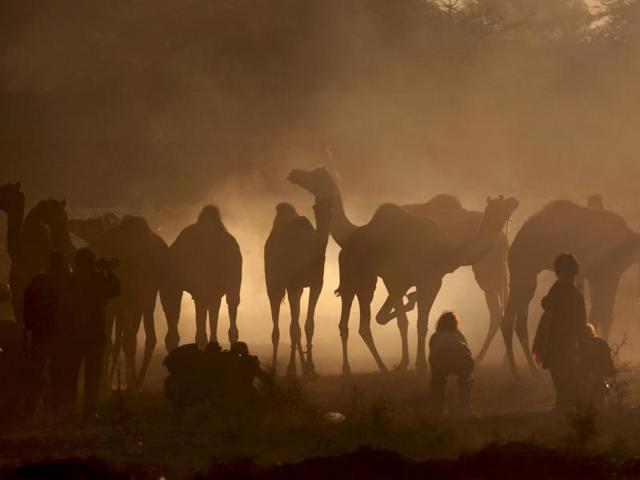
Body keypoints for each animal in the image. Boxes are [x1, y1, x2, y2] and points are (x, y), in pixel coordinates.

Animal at [69, 215, 168, 389]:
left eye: (89, 223)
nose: (71, 222)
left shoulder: (112, 305)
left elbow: (109, 340)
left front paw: (104, 383)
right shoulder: (131, 304)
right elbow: (122, 339)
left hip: (128, 300)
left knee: (123, 339)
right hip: (147, 297)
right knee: (146, 337)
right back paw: (136, 382)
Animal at [264, 198, 332, 377]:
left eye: (331, 208)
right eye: (315, 208)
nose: (325, 219)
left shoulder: (316, 285)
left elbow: (308, 325)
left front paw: (311, 368)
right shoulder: (292, 285)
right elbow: (294, 328)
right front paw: (291, 369)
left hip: (298, 289)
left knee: (296, 322)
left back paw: (303, 366)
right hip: (274, 284)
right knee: (278, 326)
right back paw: (274, 367)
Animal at [287, 167, 516, 366]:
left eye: (314, 174)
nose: (294, 174)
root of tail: (504, 239)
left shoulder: (425, 279)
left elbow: (414, 321)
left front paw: (416, 361)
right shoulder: (399, 279)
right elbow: (402, 320)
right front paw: (409, 361)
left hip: (488, 271)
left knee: (497, 310)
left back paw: (490, 357)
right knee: (499, 309)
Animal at [501, 200, 640, 376]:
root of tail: (512, 246)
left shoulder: (603, 276)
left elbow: (602, 316)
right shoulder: (603, 275)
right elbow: (600, 315)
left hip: (525, 275)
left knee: (515, 322)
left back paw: (524, 370)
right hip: (524, 272)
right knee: (513, 320)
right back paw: (521, 371)